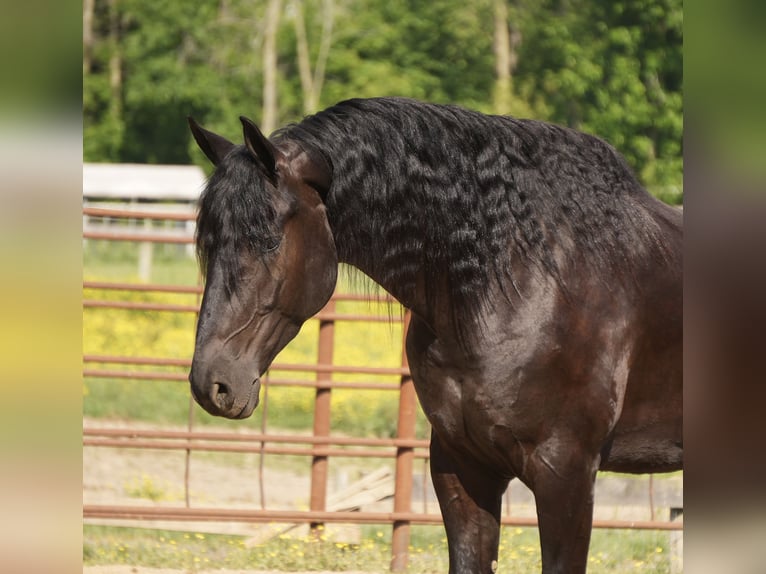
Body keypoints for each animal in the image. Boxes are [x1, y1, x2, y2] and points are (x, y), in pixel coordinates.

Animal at [187, 97, 682, 574]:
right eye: (209, 243)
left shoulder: (566, 474)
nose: (212, 384)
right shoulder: (463, 467)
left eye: (268, 240)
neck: (518, 280)